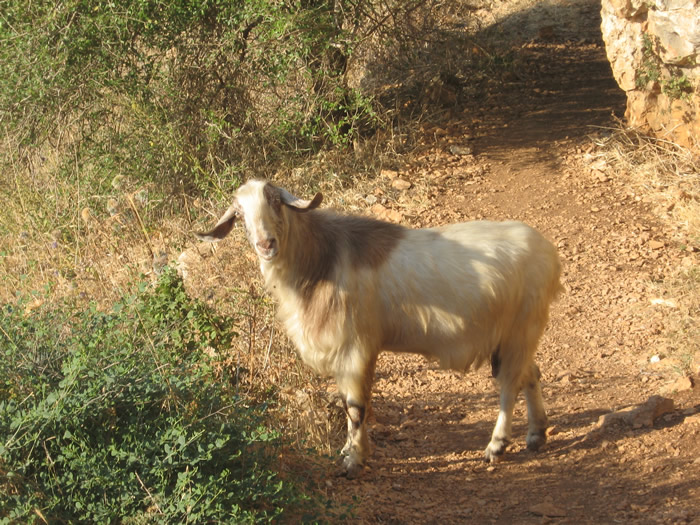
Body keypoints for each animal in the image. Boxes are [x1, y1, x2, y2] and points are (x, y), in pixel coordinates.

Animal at [197, 179, 562, 478]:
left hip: (520, 329)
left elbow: (356, 407)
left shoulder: (354, 348)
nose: (266, 244)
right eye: (240, 214)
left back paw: (496, 446)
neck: (320, 260)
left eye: (274, 201)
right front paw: (348, 451)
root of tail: (548, 252)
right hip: (517, 335)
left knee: (509, 385)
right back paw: (536, 435)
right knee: (530, 374)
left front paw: (354, 461)